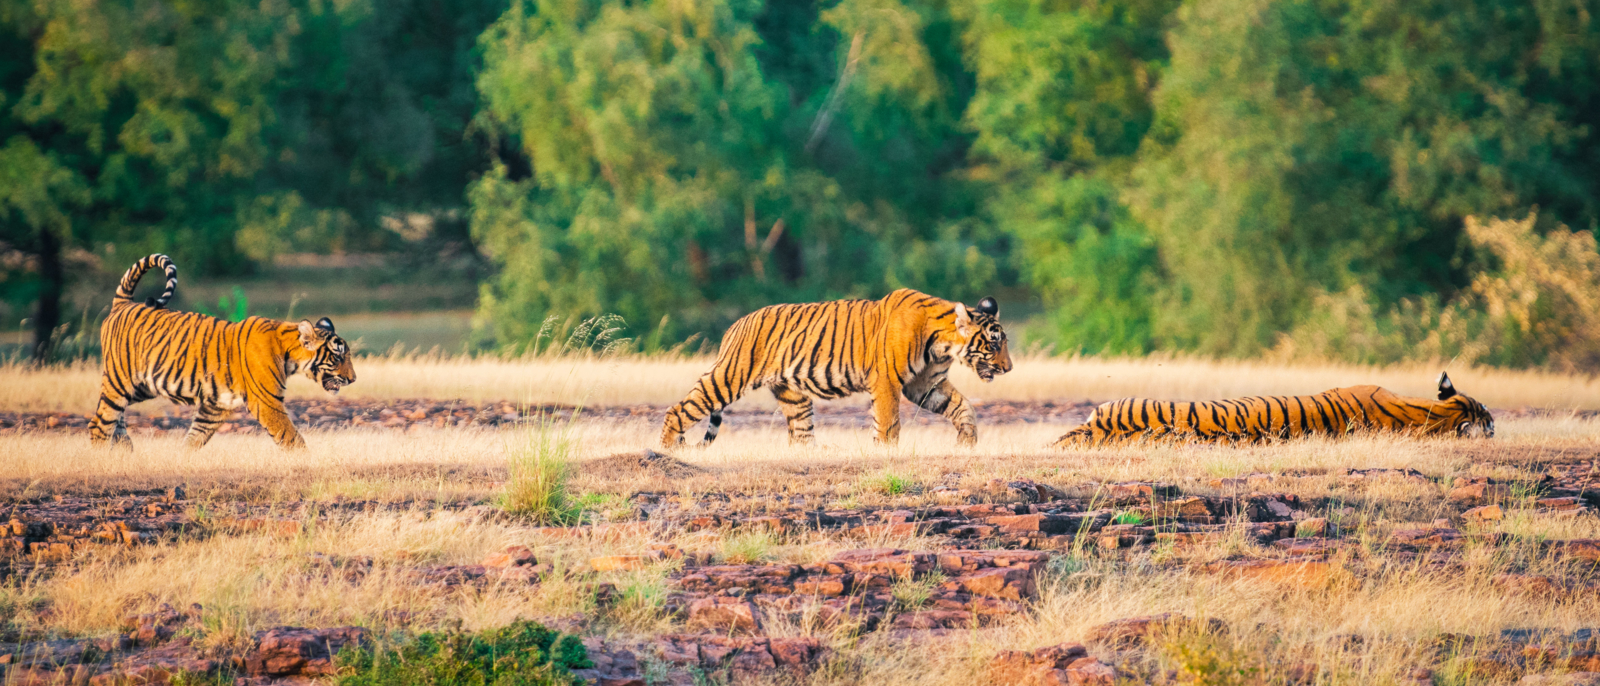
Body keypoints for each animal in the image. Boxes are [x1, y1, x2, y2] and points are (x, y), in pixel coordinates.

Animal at [89, 254, 357, 450]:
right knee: (99, 424)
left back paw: (125, 451)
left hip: (142, 386)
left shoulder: (216, 405)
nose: (353, 379)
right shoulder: (267, 402)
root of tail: (123, 304)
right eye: (337, 356)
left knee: (115, 420)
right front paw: (307, 461)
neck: (289, 355)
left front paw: (182, 460)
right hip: (120, 381)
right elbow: (291, 438)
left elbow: (195, 437)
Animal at [659, 289, 1013, 448]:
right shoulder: (887, 382)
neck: (942, 345)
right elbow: (888, 424)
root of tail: (735, 325)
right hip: (729, 377)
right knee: (680, 409)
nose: (1009, 368)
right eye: (994, 343)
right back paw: (671, 448)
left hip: (794, 396)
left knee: (801, 435)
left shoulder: (926, 385)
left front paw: (967, 441)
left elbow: (964, 408)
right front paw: (886, 452)